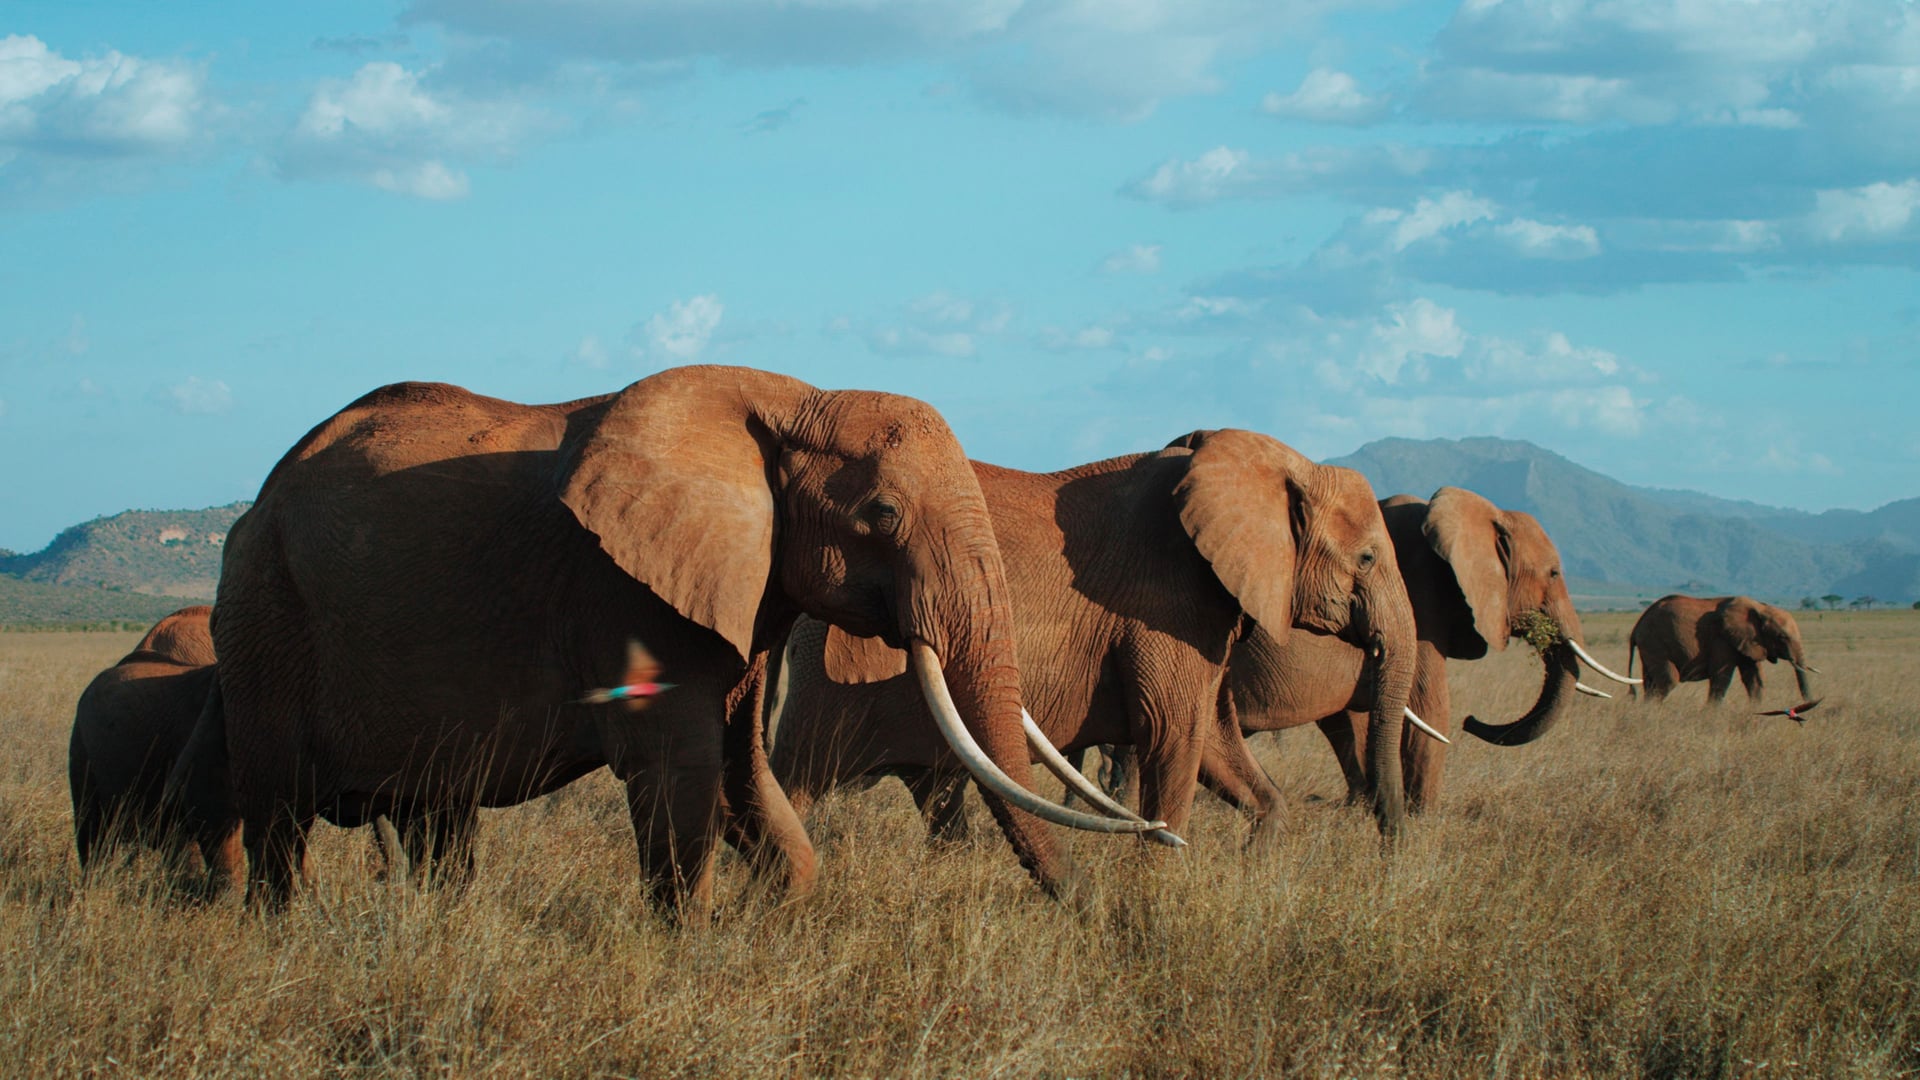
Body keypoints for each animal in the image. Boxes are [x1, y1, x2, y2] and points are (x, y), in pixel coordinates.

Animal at [167, 365, 1150, 913]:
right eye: (881, 513)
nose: (1092, 915)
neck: (791, 400)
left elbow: (744, 769)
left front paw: (778, 911)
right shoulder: (624, 593)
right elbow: (683, 769)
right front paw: (697, 942)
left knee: (435, 818)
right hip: (263, 613)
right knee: (280, 815)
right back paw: (283, 934)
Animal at [767, 428, 1418, 850]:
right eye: (1366, 558)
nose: (1394, 844)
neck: (1273, 463)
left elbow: (1215, 746)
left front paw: (1257, 855)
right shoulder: (1165, 606)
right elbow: (1175, 738)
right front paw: (1158, 883)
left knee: (940, 798)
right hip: (827, 683)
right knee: (795, 781)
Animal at [1628, 594, 1816, 704]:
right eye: (1782, 637)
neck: (1761, 608)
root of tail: (1637, 626)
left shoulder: (1748, 642)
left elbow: (1754, 679)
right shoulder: (1722, 639)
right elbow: (1721, 677)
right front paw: (1711, 714)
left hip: (1649, 646)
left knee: (1650, 683)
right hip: (1655, 642)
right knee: (1668, 681)